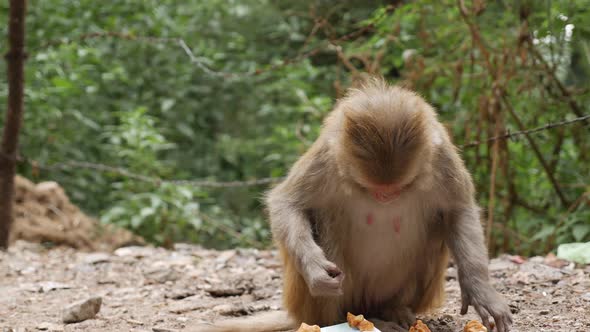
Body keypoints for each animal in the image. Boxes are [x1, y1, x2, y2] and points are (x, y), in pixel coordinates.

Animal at [195, 77, 512, 332]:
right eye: (373, 188)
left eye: (399, 187)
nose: (385, 197)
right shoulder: (325, 157)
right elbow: (287, 203)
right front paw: (315, 269)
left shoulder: (442, 156)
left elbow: (459, 210)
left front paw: (481, 291)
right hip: (320, 301)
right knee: (324, 219)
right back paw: (341, 319)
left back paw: (391, 310)